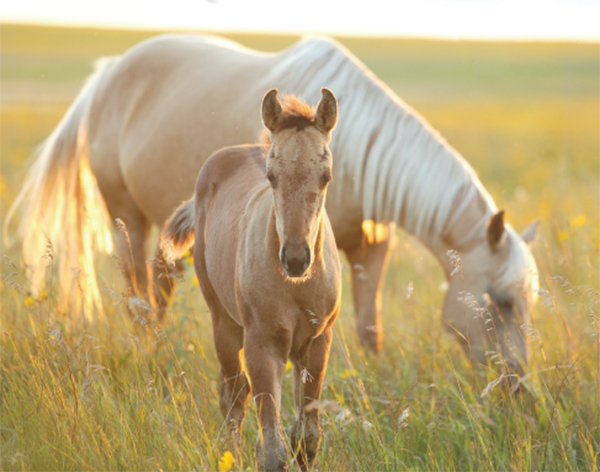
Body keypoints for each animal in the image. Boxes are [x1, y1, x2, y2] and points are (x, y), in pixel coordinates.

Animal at [5, 32, 540, 372]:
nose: (518, 384)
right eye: (502, 301)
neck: (362, 155)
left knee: (159, 287)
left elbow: (369, 331)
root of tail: (108, 74)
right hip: (127, 219)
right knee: (138, 296)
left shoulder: (370, 250)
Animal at [163, 89, 342, 472]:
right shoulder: (262, 344)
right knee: (233, 396)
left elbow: (306, 438)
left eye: (326, 177)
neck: (296, 286)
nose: (295, 258)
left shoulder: (316, 342)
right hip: (224, 324)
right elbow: (273, 450)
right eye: (271, 177)